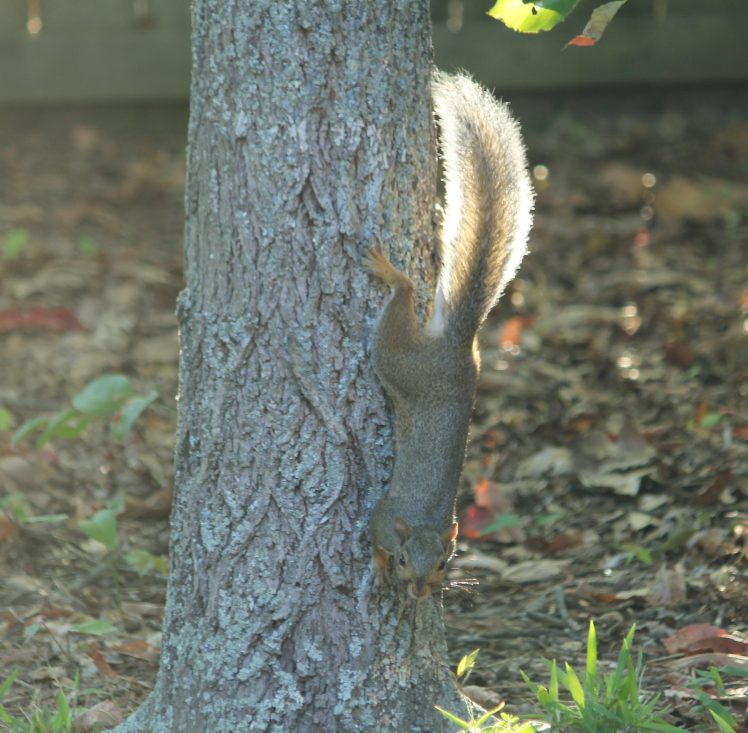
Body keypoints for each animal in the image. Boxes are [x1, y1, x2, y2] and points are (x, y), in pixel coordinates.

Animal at [365, 71, 534, 601]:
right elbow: (373, 537)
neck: (420, 522)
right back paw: (391, 272)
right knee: (405, 294)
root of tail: (458, 346)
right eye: (405, 559)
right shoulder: (381, 516)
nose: (421, 594)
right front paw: (380, 567)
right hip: (396, 358)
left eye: (445, 563)